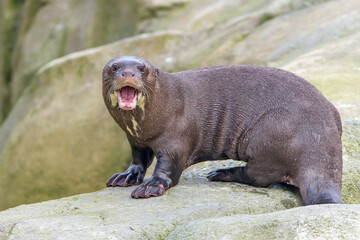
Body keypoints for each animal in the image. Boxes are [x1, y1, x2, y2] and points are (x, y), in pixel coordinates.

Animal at [102, 55, 344, 204]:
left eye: (142, 68)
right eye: (114, 67)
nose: (128, 73)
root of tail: (322, 139)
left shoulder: (176, 139)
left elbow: (168, 168)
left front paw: (151, 186)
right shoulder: (135, 140)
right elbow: (138, 160)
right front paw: (126, 175)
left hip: (270, 134)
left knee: (259, 176)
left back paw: (222, 173)